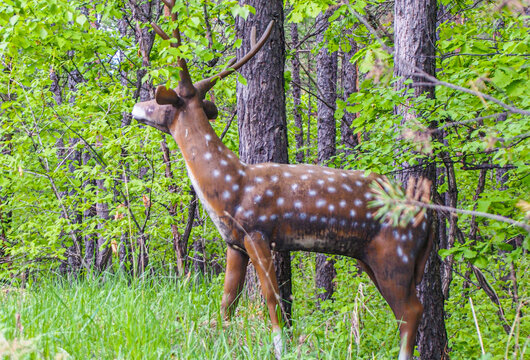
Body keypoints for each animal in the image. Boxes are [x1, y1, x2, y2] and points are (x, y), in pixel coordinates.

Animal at [130, 1, 432, 358]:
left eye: (160, 99)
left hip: (394, 253)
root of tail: (429, 219)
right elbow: (227, 302)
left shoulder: (258, 232)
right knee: (410, 309)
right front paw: (221, 343)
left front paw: (279, 347)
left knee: (411, 310)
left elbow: (273, 299)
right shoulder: (235, 243)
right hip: (376, 259)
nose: (135, 107)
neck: (229, 186)